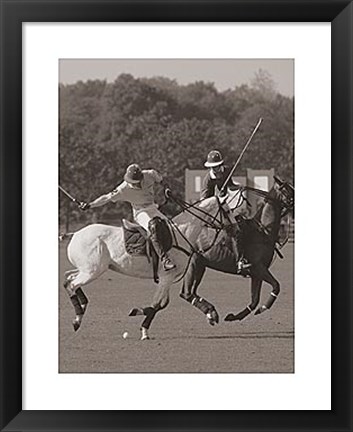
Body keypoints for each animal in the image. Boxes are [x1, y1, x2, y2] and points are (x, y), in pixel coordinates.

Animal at [63, 196, 231, 340]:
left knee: (68, 278)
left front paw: (211, 314)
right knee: (71, 284)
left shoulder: (168, 279)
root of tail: (75, 234)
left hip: (88, 269)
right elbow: (158, 304)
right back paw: (77, 319)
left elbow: (162, 304)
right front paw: (143, 328)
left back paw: (82, 306)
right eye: (227, 211)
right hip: (93, 271)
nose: (232, 227)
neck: (182, 234)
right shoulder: (166, 276)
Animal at [177, 177, 292, 322]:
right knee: (186, 293)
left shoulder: (257, 273)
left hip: (201, 265)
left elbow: (254, 301)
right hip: (193, 262)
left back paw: (211, 313)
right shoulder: (258, 267)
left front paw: (234, 316)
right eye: (287, 189)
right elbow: (276, 286)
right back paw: (211, 312)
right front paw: (263, 308)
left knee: (190, 292)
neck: (263, 230)